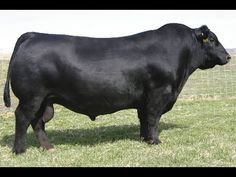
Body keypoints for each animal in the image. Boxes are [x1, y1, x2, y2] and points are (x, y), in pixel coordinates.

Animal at [3, 23, 230, 153]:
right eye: (212, 39)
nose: (228, 56)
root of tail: (34, 34)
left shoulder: (144, 99)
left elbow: (144, 119)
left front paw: (144, 138)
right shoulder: (159, 93)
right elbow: (153, 118)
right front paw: (155, 141)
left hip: (44, 99)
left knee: (37, 122)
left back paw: (49, 148)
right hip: (31, 97)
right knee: (22, 118)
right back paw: (20, 150)